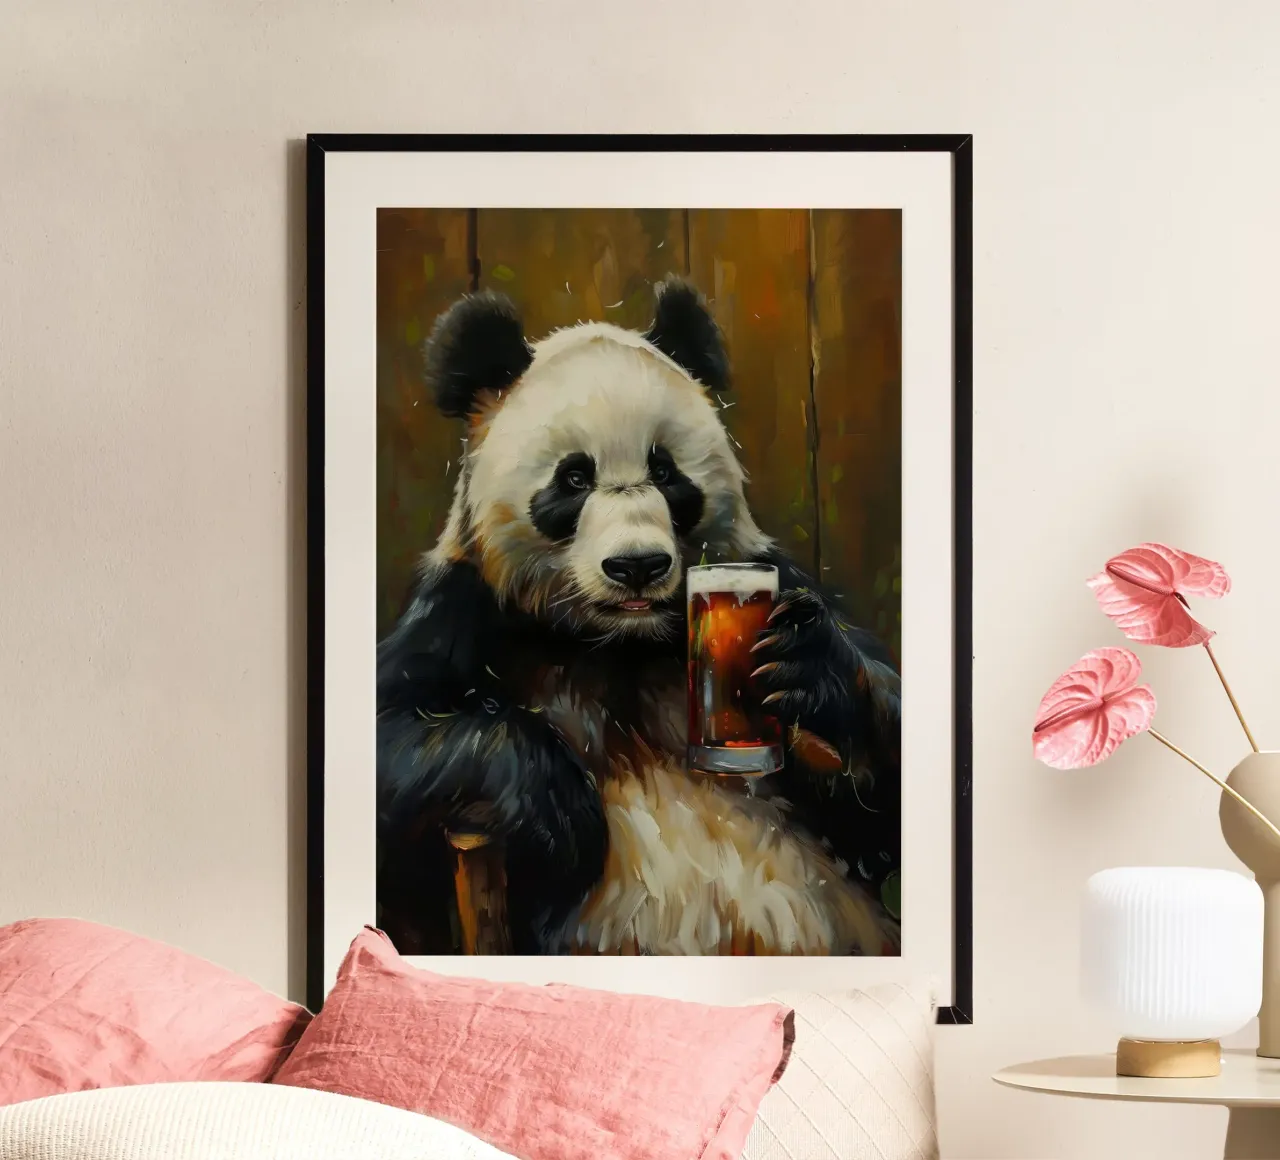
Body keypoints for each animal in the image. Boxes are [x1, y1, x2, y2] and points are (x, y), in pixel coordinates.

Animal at [376, 280, 902, 957]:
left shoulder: (777, 576)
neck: (618, 643)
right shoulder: (469, 610)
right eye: (574, 478)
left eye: (665, 471)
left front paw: (810, 667)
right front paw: (559, 810)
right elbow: (395, 738)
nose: (637, 566)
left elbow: (878, 813)